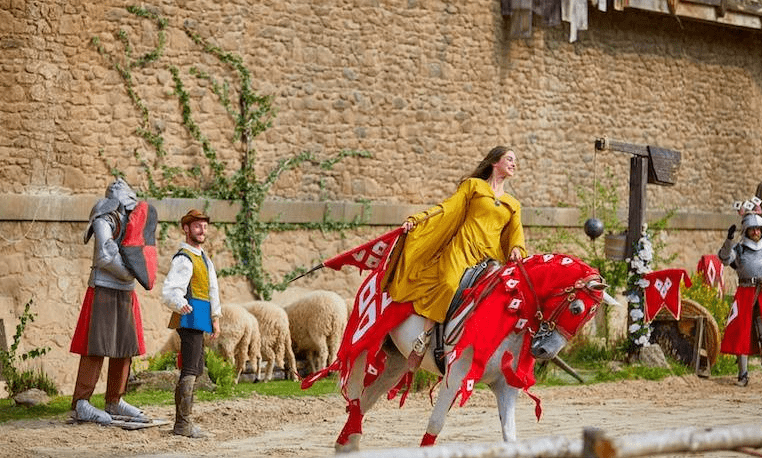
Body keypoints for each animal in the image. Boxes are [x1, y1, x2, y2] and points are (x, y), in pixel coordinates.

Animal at [296, 252, 604, 452]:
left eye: (590, 315)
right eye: (577, 308)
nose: (544, 350)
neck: (510, 311)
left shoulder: (505, 387)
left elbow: (510, 435)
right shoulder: (455, 376)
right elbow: (435, 424)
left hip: (396, 363)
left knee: (363, 402)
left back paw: (348, 443)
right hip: (363, 347)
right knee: (356, 397)